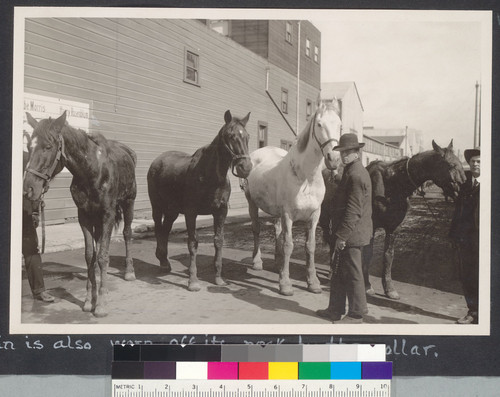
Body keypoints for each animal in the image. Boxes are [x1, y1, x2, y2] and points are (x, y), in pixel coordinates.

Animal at [23, 110, 137, 316]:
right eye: (29, 146)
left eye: (48, 146)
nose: (29, 189)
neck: (92, 171)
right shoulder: (84, 216)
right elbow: (90, 255)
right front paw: (89, 300)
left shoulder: (107, 214)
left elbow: (103, 256)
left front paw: (101, 304)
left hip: (128, 203)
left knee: (127, 233)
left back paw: (129, 272)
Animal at [146, 110, 252, 290]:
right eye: (230, 136)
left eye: (248, 136)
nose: (246, 167)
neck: (211, 176)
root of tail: (157, 161)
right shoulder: (191, 212)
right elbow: (193, 243)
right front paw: (193, 281)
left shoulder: (221, 212)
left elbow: (218, 241)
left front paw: (218, 278)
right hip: (157, 207)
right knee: (159, 229)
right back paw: (162, 261)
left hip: (172, 211)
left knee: (165, 230)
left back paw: (165, 261)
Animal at [244, 100, 342, 294]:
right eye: (319, 124)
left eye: (340, 125)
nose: (333, 159)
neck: (306, 178)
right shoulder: (288, 214)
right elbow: (289, 245)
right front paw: (285, 284)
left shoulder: (314, 216)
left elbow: (310, 247)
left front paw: (313, 282)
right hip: (252, 203)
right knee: (256, 229)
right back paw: (257, 262)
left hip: (276, 212)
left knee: (277, 231)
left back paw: (277, 263)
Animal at [322, 141, 466, 298]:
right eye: (451, 165)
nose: (464, 187)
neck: (392, 184)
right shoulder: (371, 227)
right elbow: (368, 254)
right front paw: (367, 285)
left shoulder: (394, 228)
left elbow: (388, 256)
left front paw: (389, 289)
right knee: (331, 240)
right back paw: (331, 272)